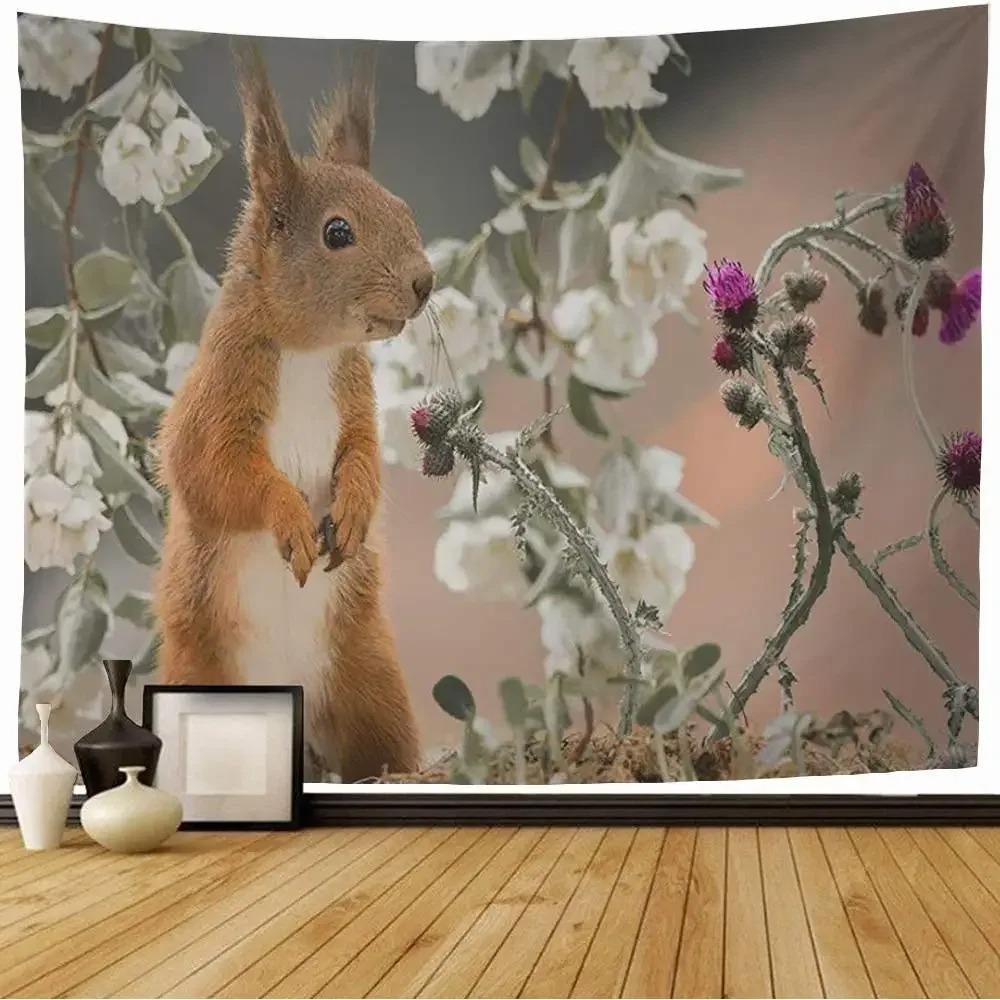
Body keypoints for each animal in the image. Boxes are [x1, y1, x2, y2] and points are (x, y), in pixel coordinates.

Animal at [154, 44, 428, 782]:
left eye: (404, 207)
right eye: (337, 232)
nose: (425, 282)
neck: (309, 353)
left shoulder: (355, 402)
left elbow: (364, 458)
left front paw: (354, 508)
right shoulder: (215, 407)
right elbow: (220, 478)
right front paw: (290, 519)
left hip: (370, 680)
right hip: (198, 679)